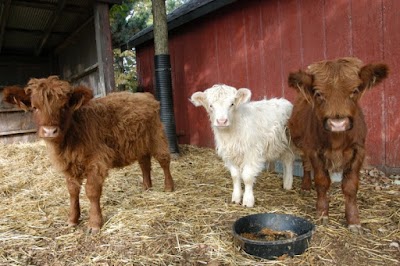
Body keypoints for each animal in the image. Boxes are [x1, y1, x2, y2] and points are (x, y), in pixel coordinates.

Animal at [2, 75, 175, 233]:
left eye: (64, 106)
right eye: (35, 107)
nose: (50, 131)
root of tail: (145, 95)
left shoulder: (97, 161)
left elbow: (92, 191)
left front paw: (94, 223)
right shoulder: (69, 166)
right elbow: (72, 191)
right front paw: (72, 220)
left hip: (157, 136)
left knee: (164, 160)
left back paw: (168, 187)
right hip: (140, 144)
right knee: (144, 163)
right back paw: (146, 187)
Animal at [288, 57, 388, 232]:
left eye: (354, 90)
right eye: (318, 93)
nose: (338, 124)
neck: (337, 140)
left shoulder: (359, 151)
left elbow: (350, 186)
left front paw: (353, 220)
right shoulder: (313, 149)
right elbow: (322, 181)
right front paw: (322, 213)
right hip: (302, 142)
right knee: (306, 164)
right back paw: (306, 186)